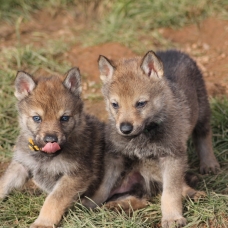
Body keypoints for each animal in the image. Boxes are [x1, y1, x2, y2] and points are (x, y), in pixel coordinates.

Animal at [0, 67, 105, 228]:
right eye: (37, 118)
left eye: (64, 118)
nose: (51, 140)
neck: (44, 156)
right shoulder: (21, 165)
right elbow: (4, 182)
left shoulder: (75, 176)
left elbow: (54, 200)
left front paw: (43, 222)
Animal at [90, 50, 220, 228]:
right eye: (115, 104)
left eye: (140, 103)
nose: (125, 129)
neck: (143, 134)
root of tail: (173, 51)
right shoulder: (114, 156)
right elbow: (103, 186)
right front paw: (88, 203)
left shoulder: (172, 157)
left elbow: (170, 193)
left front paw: (172, 218)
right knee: (140, 198)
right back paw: (118, 206)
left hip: (202, 109)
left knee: (203, 136)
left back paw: (206, 169)